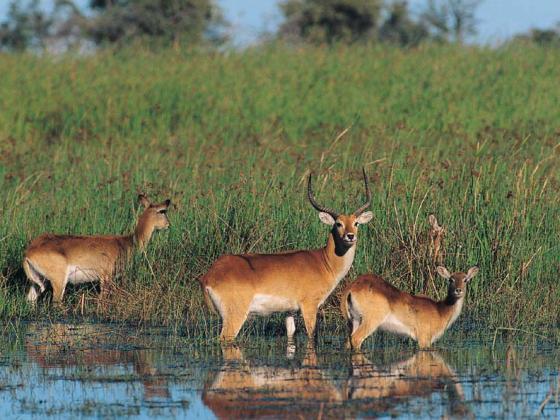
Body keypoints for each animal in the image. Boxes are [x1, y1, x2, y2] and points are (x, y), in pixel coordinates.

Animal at [22, 194, 171, 306]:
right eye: (162, 211)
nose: (169, 225)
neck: (127, 242)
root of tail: (29, 253)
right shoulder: (105, 277)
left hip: (37, 282)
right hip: (59, 282)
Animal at [199, 169, 374, 342]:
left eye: (356, 223)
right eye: (338, 224)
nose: (350, 236)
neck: (324, 262)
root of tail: (209, 275)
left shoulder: (289, 312)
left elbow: (291, 334)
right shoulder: (309, 306)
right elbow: (312, 336)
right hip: (236, 315)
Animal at [340, 266, 480, 352]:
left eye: (465, 279)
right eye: (451, 279)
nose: (458, 290)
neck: (440, 311)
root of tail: (352, 287)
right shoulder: (424, 339)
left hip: (354, 320)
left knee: (348, 342)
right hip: (370, 320)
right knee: (356, 339)